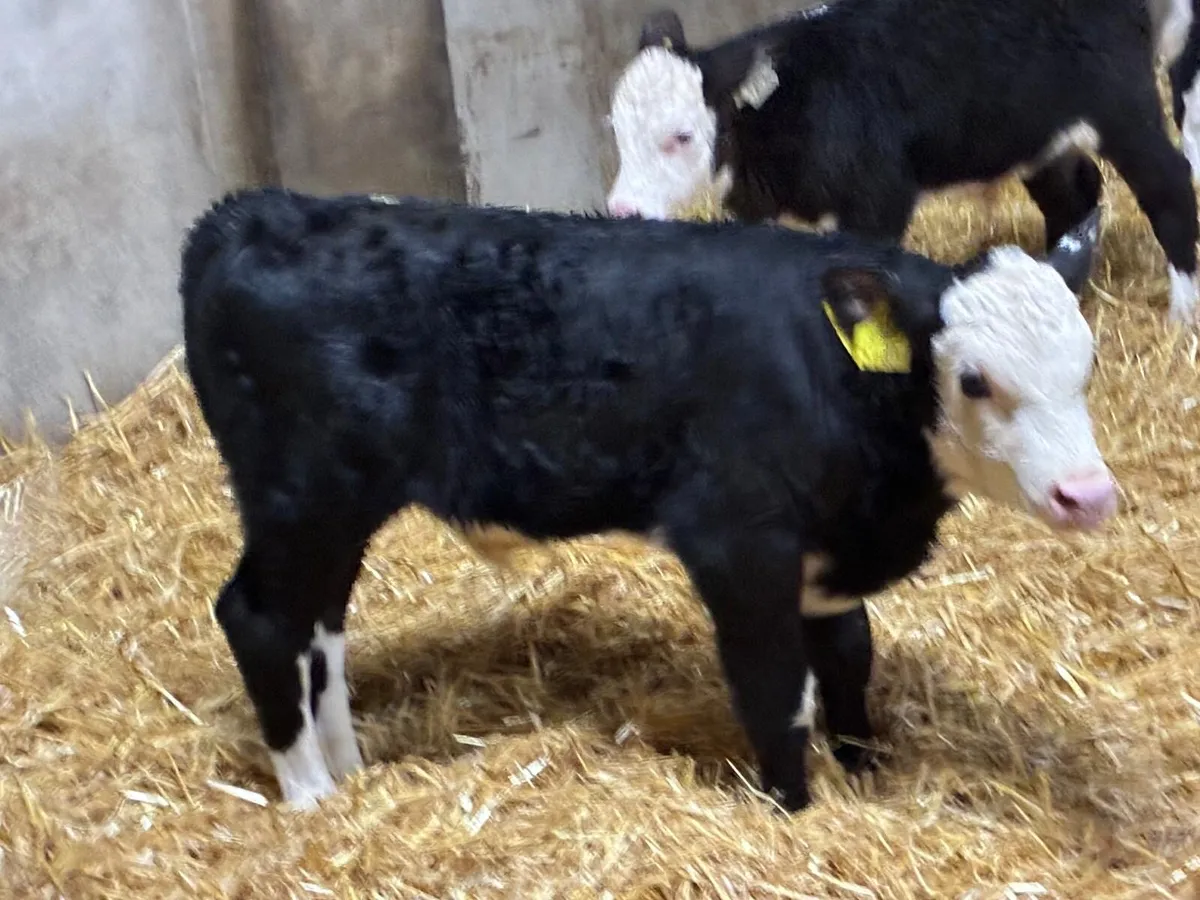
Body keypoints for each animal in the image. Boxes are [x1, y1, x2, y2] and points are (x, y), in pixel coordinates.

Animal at [180, 187, 1118, 813]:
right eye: (974, 378)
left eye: (1088, 362)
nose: (1088, 494)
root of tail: (247, 215)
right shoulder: (737, 540)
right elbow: (776, 689)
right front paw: (793, 808)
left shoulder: (826, 548)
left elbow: (850, 657)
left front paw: (865, 767)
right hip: (304, 494)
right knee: (260, 620)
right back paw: (310, 795)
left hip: (336, 509)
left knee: (319, 630)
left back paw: (347, 769)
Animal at [605, 0, 1200, 326]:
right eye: (616, 131)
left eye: (681, 136)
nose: (622, 209)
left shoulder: (877, 199)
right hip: (1037, 135)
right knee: (1074, 197)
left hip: (1122, 110)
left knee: (1169, 185)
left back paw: (1183, 309)